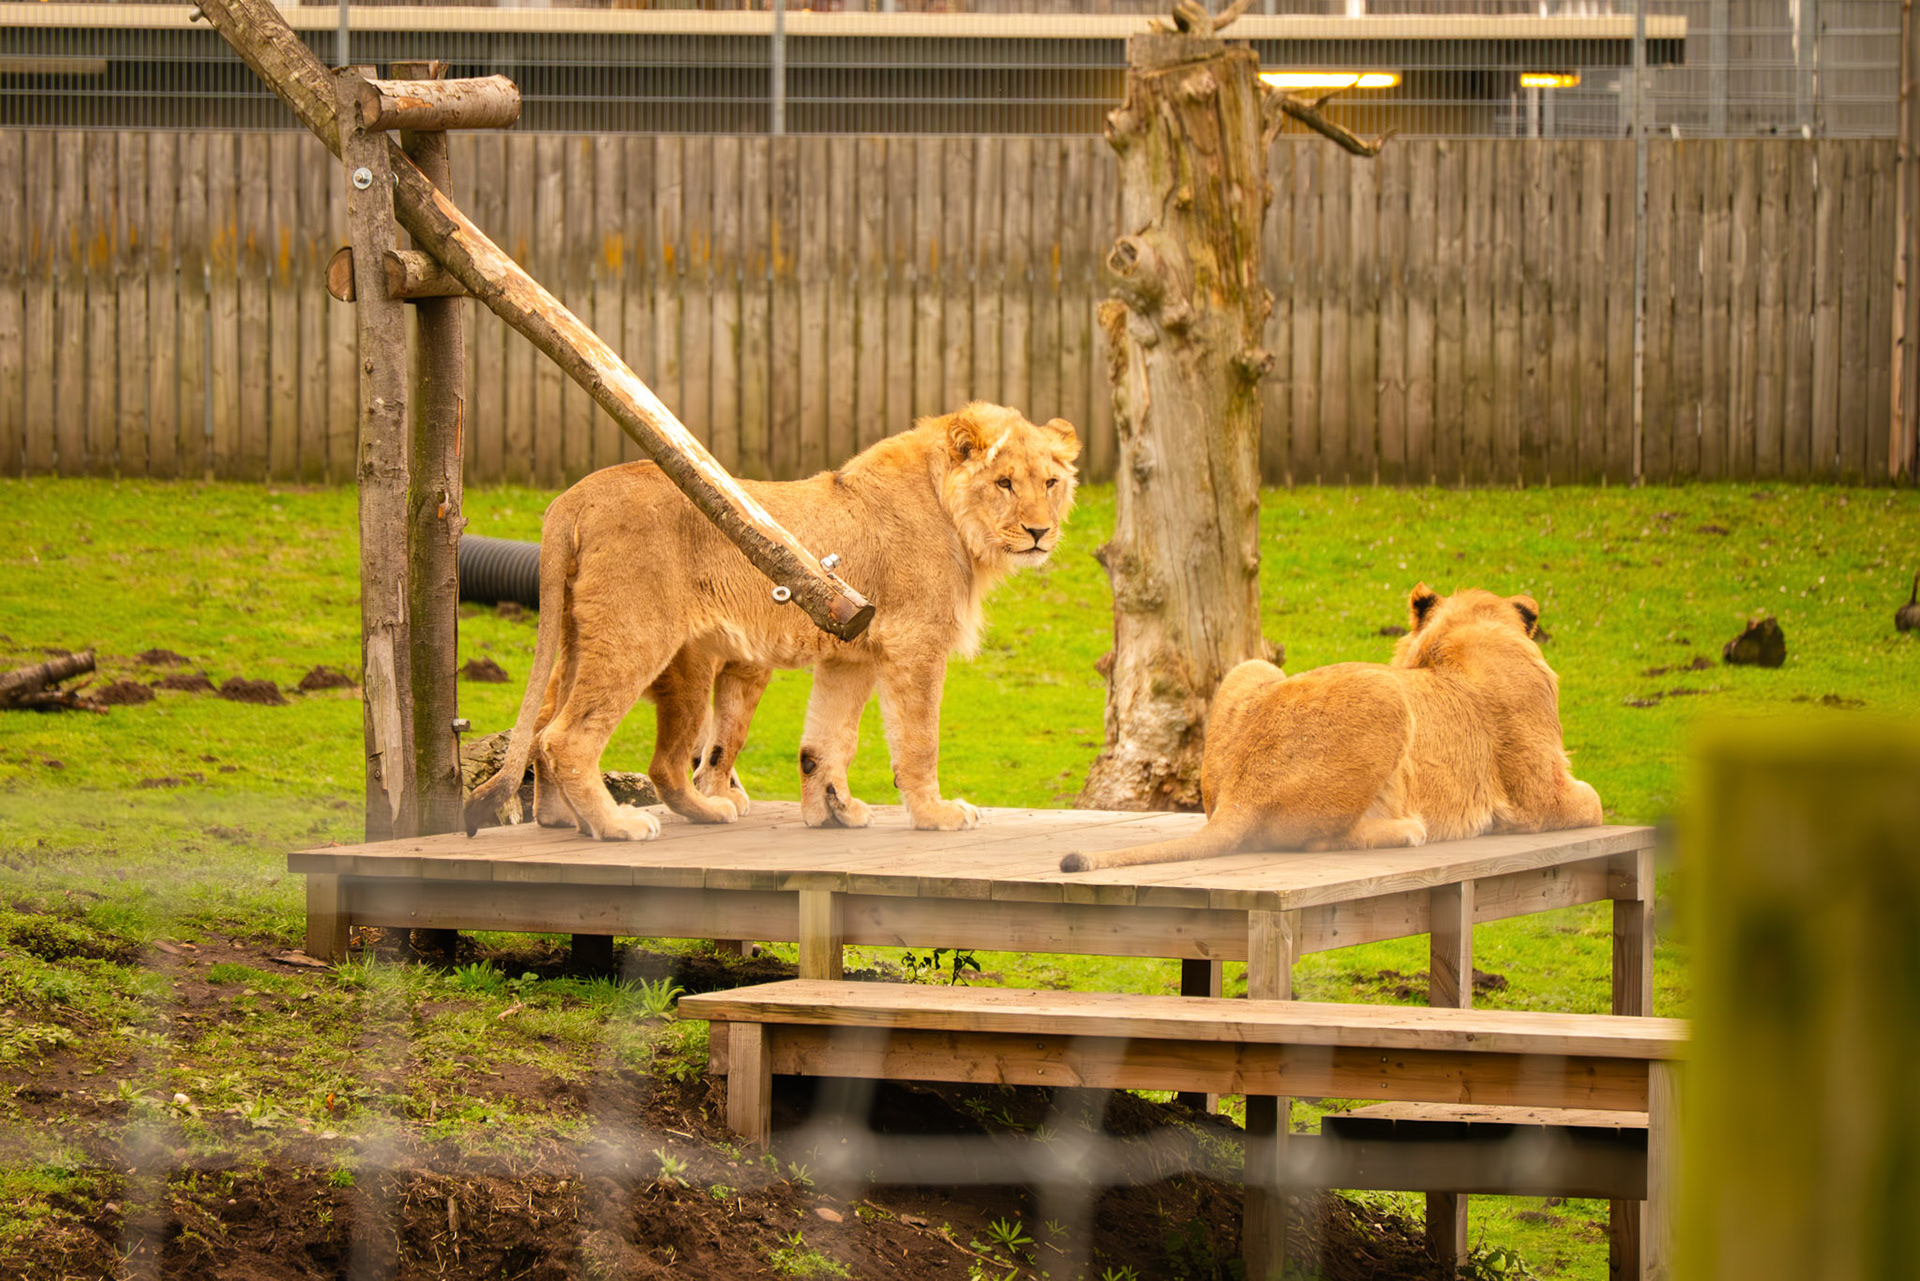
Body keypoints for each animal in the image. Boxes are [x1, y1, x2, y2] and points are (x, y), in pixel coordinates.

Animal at [464, 403, 1081, 841]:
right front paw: (935, 814)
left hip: (578, 636)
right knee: (574, 738)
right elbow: (918, 740)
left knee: (544, 729)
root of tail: (572, 497)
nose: (1039, 533)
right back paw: (620, 825)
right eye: (1004, 483)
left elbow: (828, 741)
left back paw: (568, 819)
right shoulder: (914, 643)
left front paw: (834, 810)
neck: (959, 523)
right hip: (639, 637)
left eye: (1050, 483)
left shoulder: (851, 651)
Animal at [1060, 585, 1602, 872]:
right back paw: (1408, 830)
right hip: (1385, 693)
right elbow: (1593, 802)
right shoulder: (1541, 794)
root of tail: (1241, 792)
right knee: (1317, 841)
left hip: (1251, 669)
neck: (1456, 634)